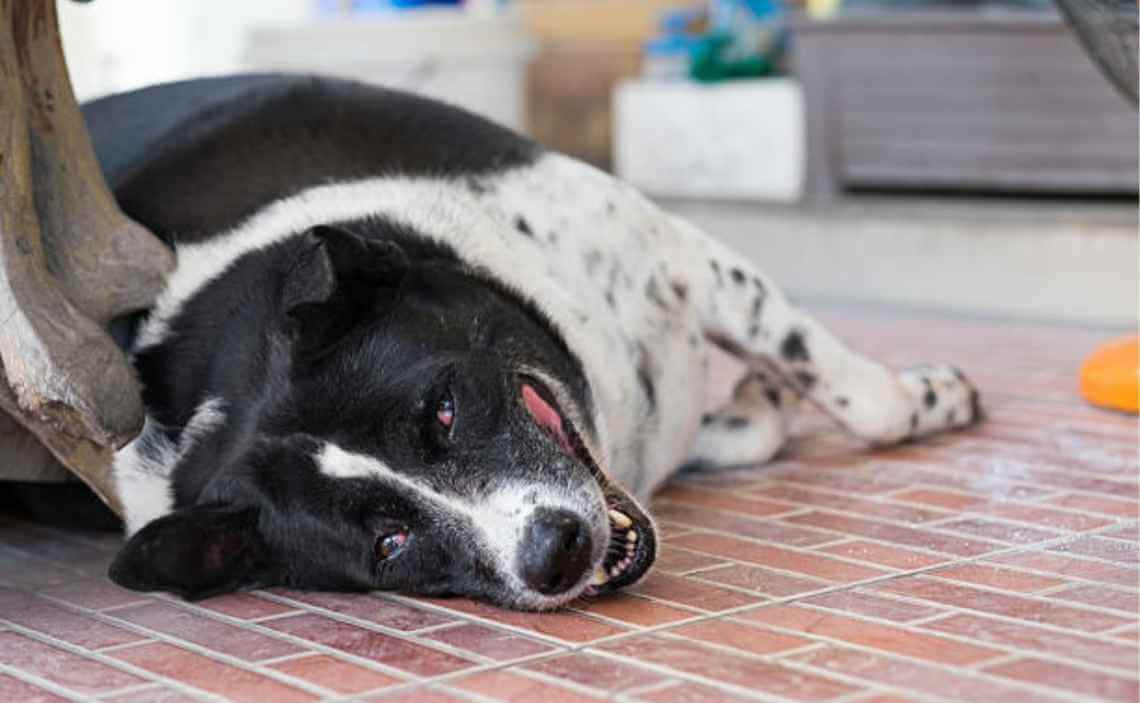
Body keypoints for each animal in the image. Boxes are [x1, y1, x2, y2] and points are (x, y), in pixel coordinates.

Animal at [88, 72, 980, 610]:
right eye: (390, 541)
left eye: (443, 410)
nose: (554, 552)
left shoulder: (680, 256)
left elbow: (850, 393)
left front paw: (923, 398)